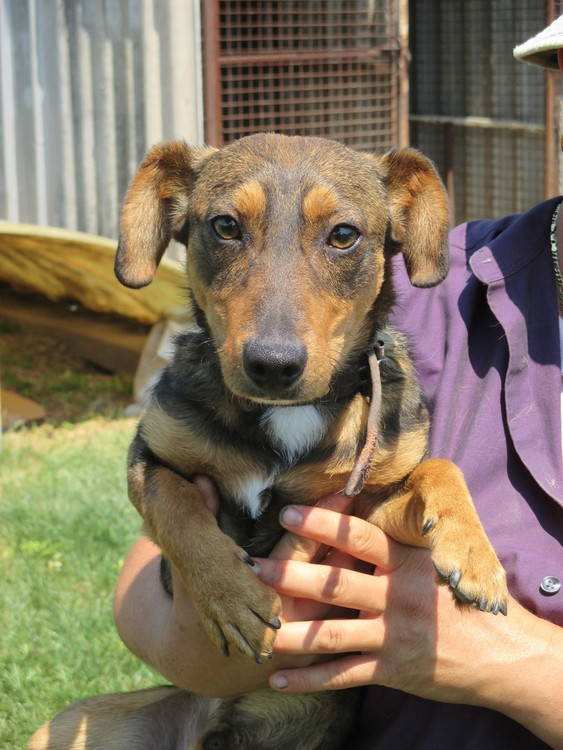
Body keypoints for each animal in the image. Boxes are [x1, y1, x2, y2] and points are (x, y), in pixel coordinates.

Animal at [28, 135, 508, 750]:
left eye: (344, 235)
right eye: (225, 226)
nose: (273, 366)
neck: (286, 415)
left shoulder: (362, 510)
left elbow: (440, 467)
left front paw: (475, 557)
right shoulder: (150, 455)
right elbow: (179, 511)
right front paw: (233, 598)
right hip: (70, 724)